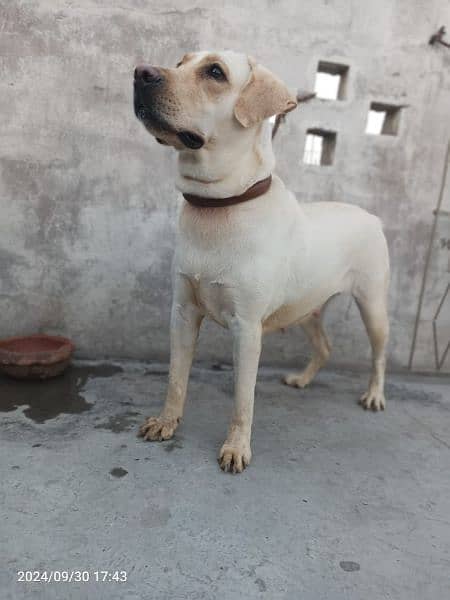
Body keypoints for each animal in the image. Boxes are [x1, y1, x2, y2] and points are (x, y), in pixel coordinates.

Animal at [132, 50, 388, 474]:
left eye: (215, 72)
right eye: (180, 62)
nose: (140, 73)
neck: (218, 205)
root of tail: (371, 216)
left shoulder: (247, 327)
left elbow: (243, 398)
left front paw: (236, 448)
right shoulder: (182, 312)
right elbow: (176, 377)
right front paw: (166, 422)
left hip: (373, 306)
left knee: (379, 354)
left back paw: (374, 396)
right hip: (308, 309)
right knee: (324, 347)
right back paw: (302, 379)